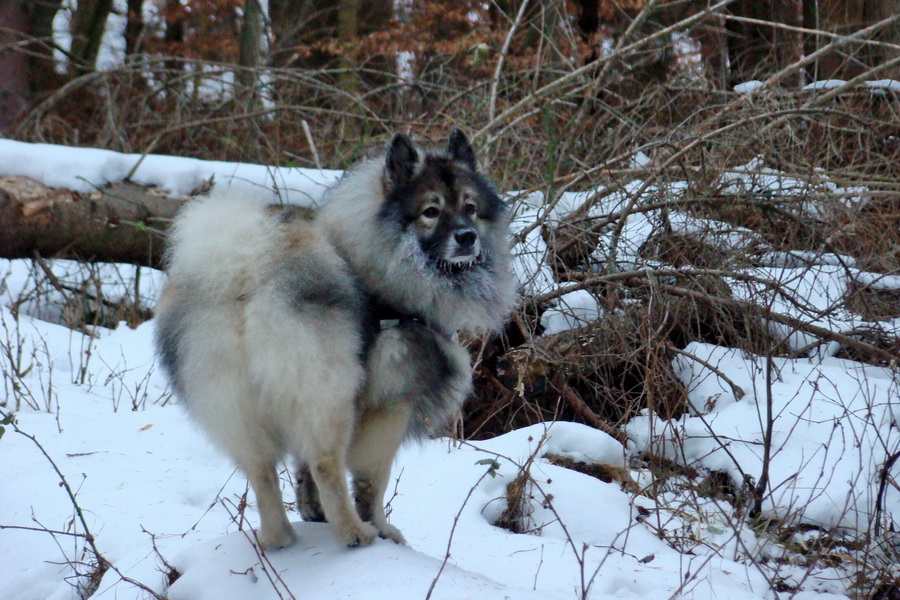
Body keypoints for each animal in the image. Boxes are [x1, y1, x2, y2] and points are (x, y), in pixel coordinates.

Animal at [153, 130, 512, 548]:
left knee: (262, 471)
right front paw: (382, 527)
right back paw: (353, 532)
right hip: (328, 393)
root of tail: (246, 273)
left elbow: (303, 469)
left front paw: (313, 512)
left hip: (234, 400)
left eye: (470, 207)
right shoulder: (391, 406)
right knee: (326, 462)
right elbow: (373, 481)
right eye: (430, 211)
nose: (467, 237)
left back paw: (279, 537)